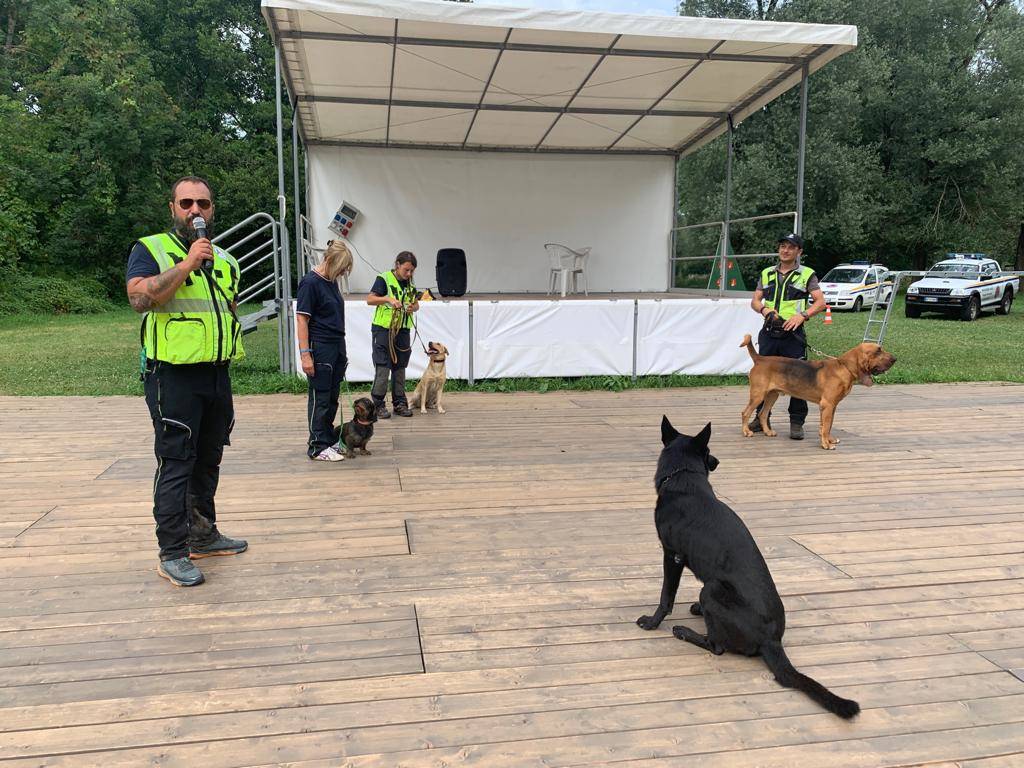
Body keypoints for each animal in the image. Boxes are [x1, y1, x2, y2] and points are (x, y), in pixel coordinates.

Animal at [634, 417, 860, 720]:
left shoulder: (672, 555)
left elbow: (665, 597)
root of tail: (772, 640)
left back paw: (684, 631)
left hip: (711, 589)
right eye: (709, 453)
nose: (717, 461)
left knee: (717, 647)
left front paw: (652, 622)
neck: (684, 477)